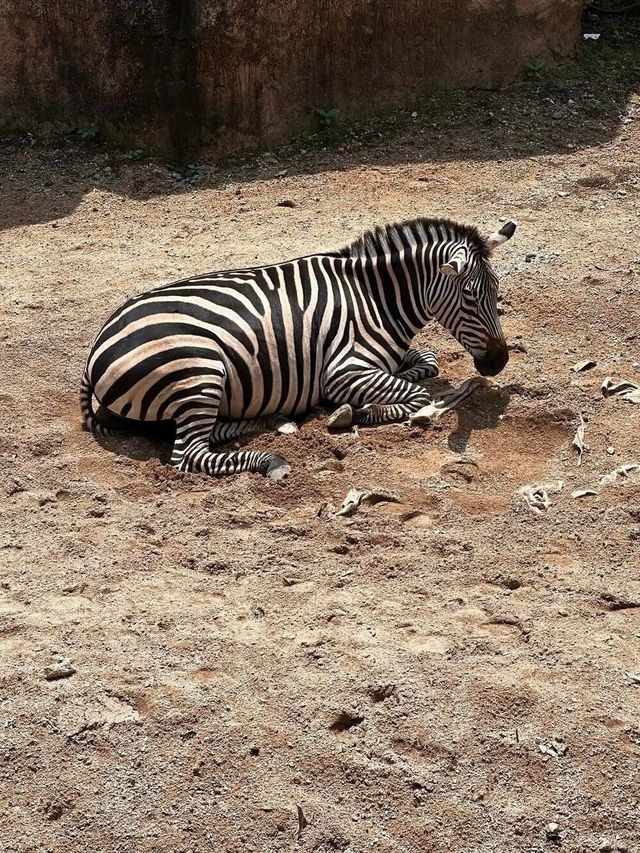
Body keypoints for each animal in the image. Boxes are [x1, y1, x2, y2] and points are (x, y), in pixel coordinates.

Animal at [82, 216, 516, 476]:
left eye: (496, 289)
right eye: (470, 297)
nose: (499, 362)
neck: (375, 299)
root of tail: (94, 351)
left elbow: (427, 361)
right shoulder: (343, 371)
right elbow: (418, 393)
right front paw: (355, 412)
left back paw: (269, 421)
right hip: (199, 371)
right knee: (187, 455)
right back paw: (269, 459)